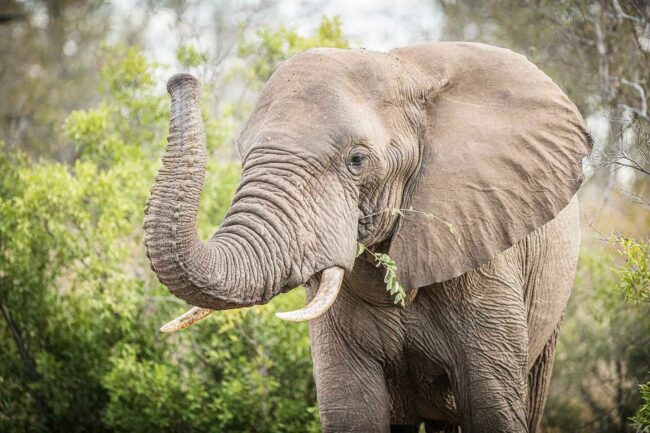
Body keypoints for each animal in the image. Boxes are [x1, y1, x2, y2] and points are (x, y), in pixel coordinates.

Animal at [144, 41, 588, 432]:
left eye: (357, 160)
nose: (181, 79)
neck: (407, 71)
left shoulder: (484, 251)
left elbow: (492, 410)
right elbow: (352, 411)